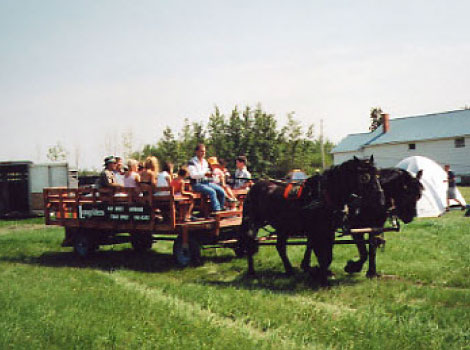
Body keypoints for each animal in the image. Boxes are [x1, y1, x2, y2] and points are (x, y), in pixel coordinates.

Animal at [239, 156, 386, 284]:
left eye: (378, 175)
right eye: (365, 177)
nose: (380, 198)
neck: (325, 195)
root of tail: (254, 186)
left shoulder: (329, 231)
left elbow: (328, 255)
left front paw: (324, 272)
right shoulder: (317, 232)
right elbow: (322, 256)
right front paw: (321, 276)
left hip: (282, 227)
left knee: (280, 247)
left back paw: (289, 269)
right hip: (253, 223)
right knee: (250, 243)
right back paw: (251, 272)